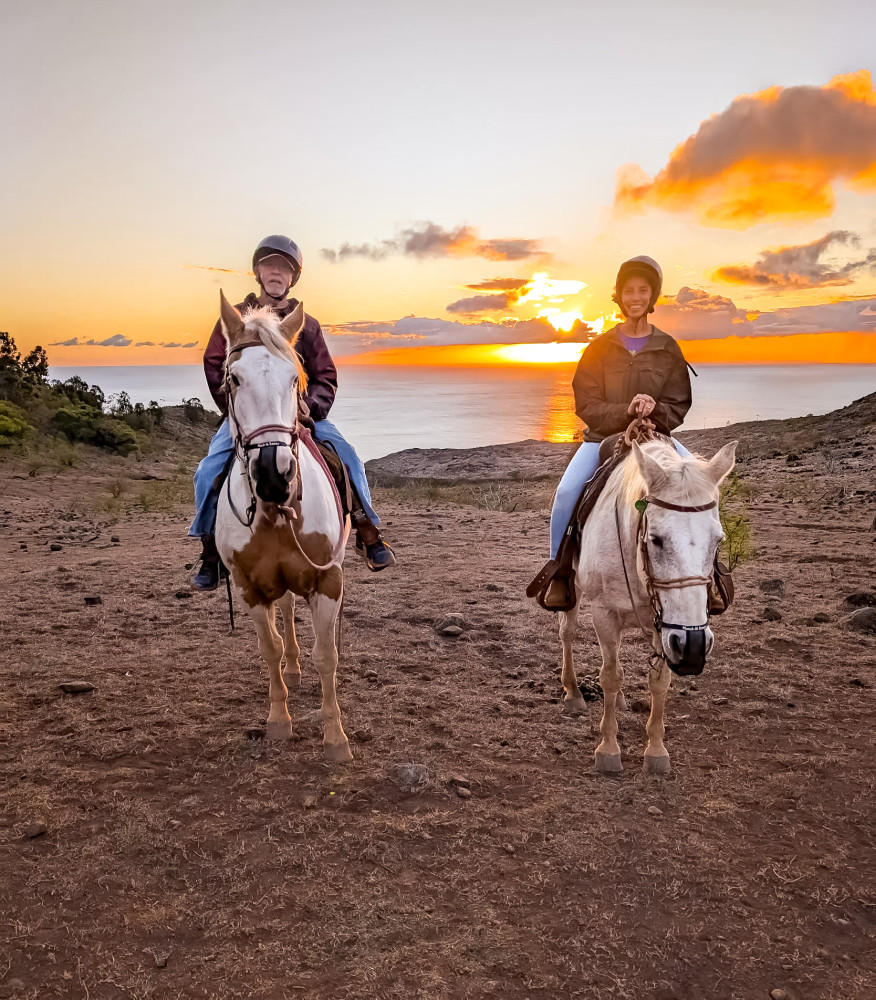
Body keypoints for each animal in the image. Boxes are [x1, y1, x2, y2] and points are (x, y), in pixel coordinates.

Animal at [216, 292, 352, 760]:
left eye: (295, 379)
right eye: (233, 379)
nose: (274, 474)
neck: (276, 513)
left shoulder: (328, 580)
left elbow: (327, 655)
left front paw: (335, 737)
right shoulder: (249, 587)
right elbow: (270, 648)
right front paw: (278, 720)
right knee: (288, 613)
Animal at [556, 442, 736, 776]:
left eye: (718, 541)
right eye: (656, 539)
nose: (693, 648)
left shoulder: (666, 629)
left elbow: (659, 682)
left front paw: (655, 750)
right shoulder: (604, 613)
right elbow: (610, 675)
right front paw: (608, 749)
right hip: (572, 588)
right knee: (568, 632)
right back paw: (573, 692)